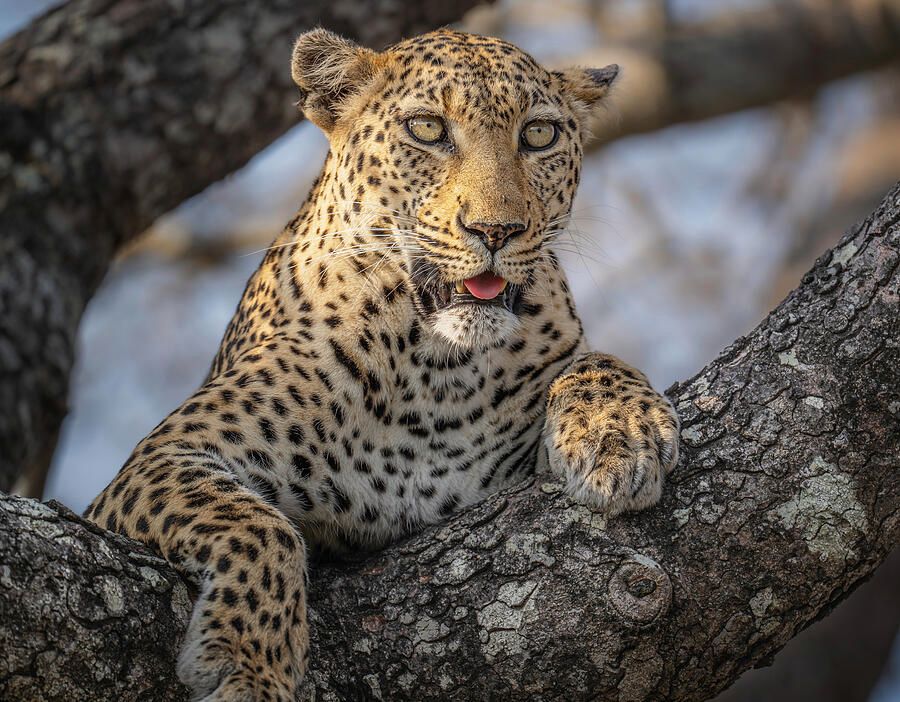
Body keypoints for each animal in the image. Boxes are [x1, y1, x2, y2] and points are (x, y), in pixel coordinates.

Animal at [85, 28, 679, 701]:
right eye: (427, 129)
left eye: (537, 135)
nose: (496, 230)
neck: (437, 374)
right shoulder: (162, 458)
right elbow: (258, 523)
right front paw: (251, 668)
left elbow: (597, 358)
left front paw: (620, 434)